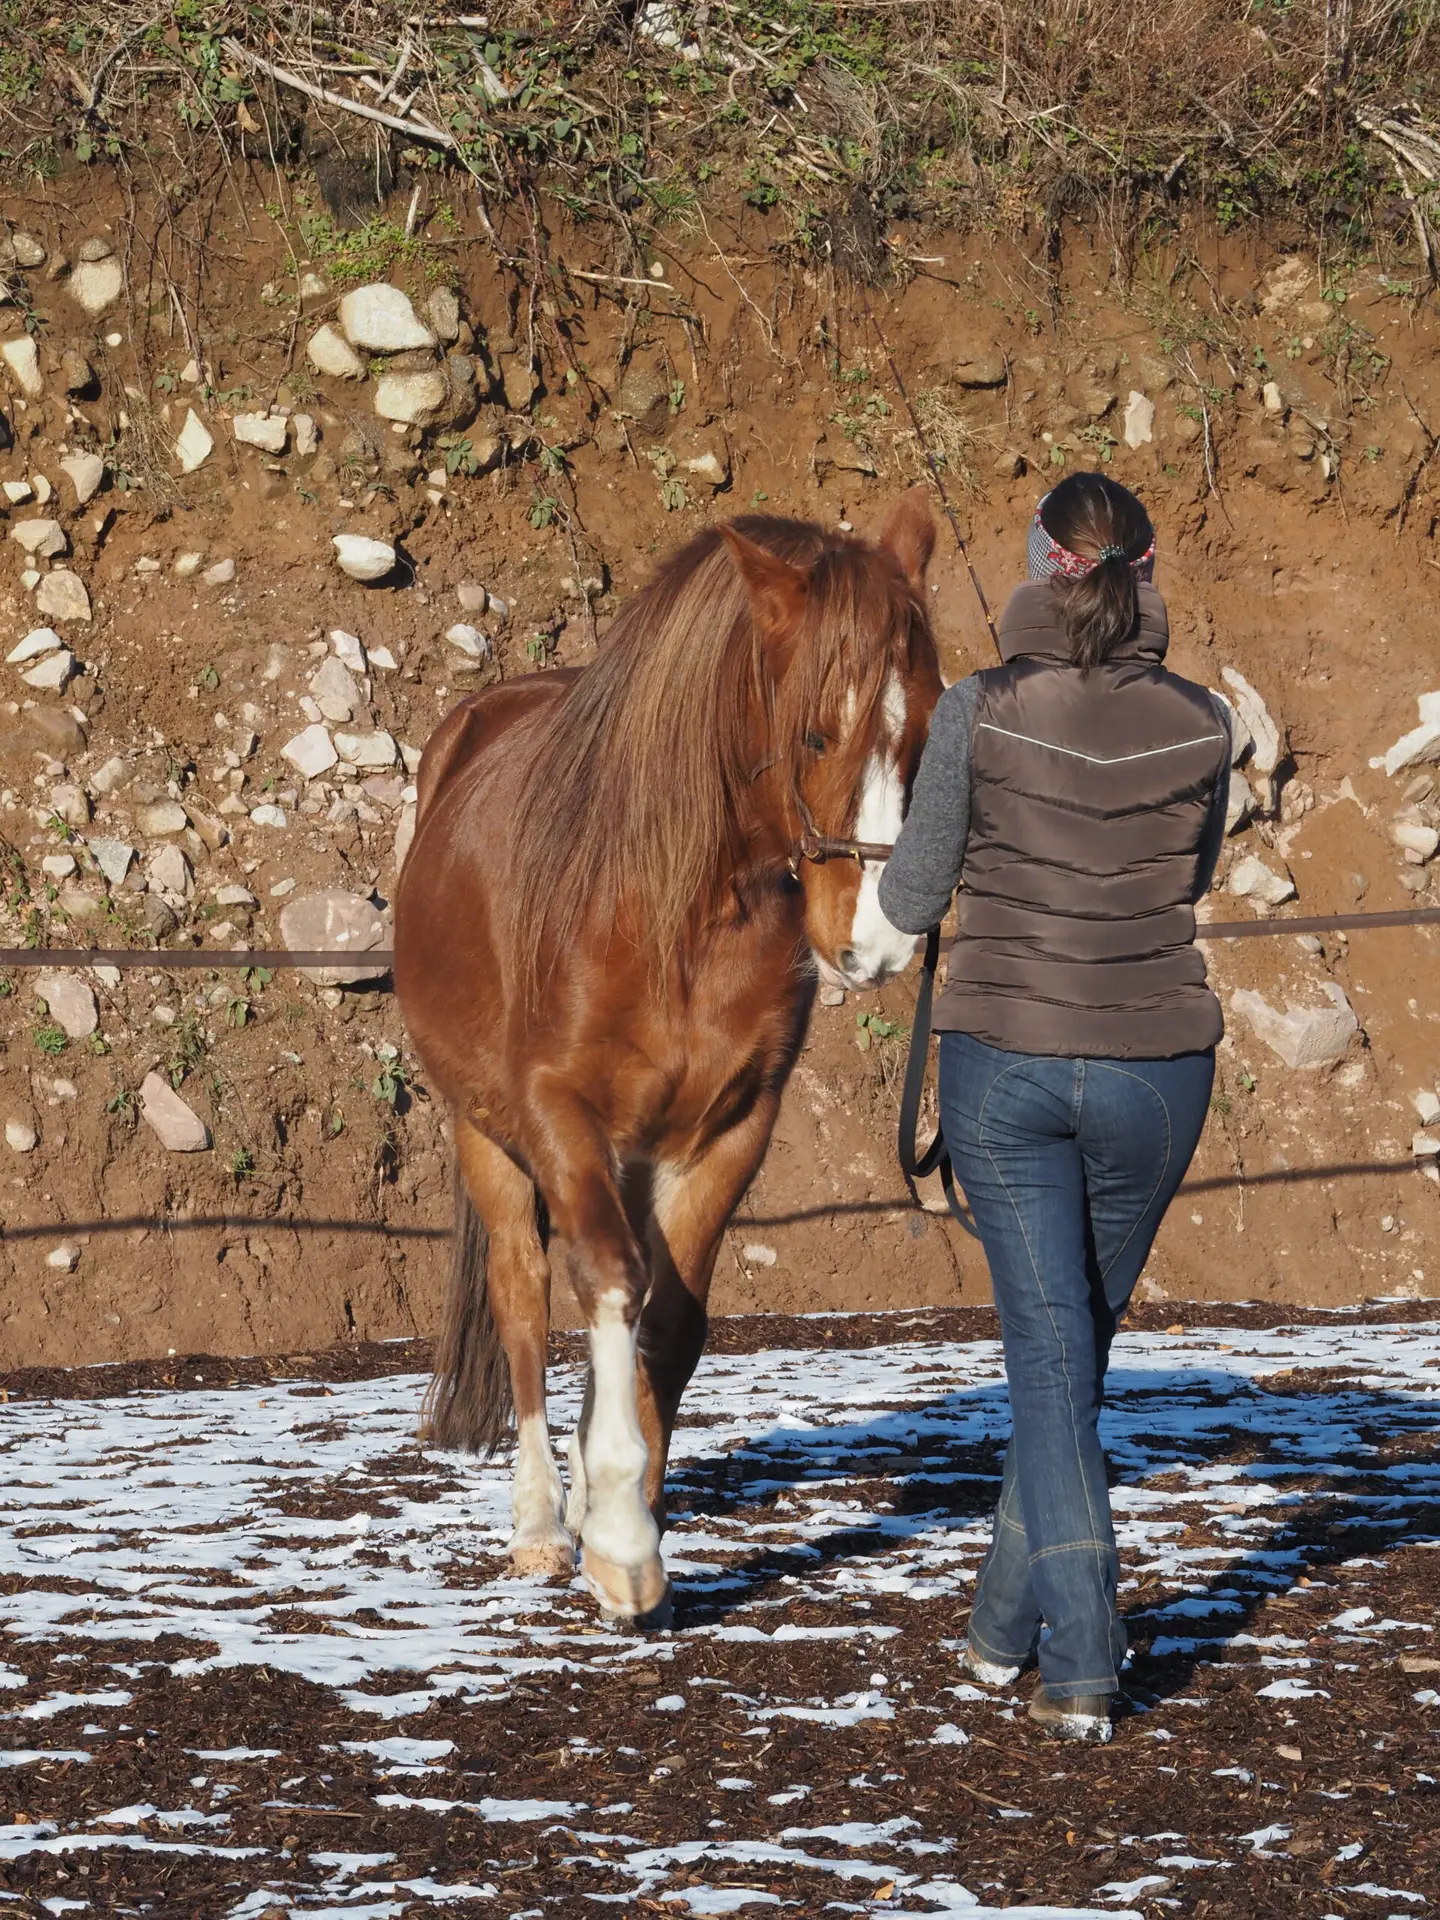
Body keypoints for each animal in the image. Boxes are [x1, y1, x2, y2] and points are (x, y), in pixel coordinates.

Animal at [391, 491, 948, 1620]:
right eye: (815, 731)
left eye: (925, 726)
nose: (880, 943)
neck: (674, 909)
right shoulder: (557, 1115)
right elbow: (607, 1280)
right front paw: (616, 1538)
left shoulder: (731, 1126)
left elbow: (674, 1320)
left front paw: (636, 1499)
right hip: (486, 1134)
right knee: (523, 1296)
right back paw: (538, 1524)